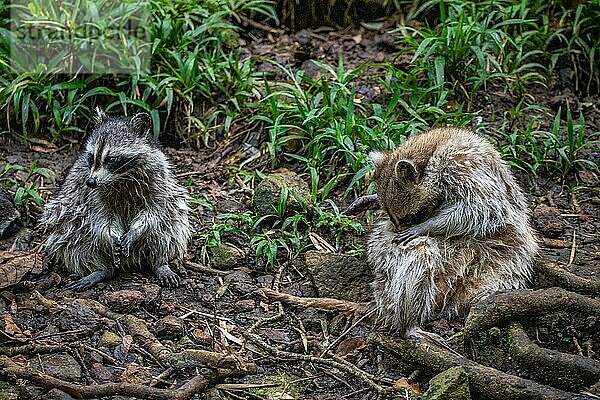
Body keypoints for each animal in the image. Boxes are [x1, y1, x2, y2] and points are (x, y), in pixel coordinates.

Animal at [40, 108, 190, 290]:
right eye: (91, 157)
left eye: (111, 159)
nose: (91, 182)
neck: (121, 177)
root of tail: (130, 260)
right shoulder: (92, 194)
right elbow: (102, 217)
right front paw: (112, 237)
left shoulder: (159, 181)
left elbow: (154, 211)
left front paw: (135, 231)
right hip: (67, 216)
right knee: (72, 237)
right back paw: (101, 269)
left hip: (173, 210)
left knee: (169, 227)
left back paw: (160, 263)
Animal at [354, 126, 536, 336]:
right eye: (393, 218)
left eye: (409, 217)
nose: (398, 229)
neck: (433, 149)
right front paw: (373, 199)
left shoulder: (463, 166)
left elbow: (484, 209)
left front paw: (427, 226)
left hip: (499, 265)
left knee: (421, 254)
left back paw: (410, 322)